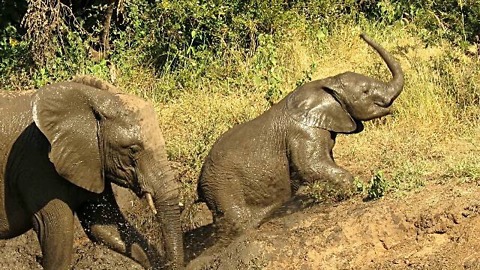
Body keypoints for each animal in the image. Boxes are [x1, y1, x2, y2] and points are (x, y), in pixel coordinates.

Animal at [197, 33, 404, 238]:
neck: (327, 83)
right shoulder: (304, 133)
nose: (361, 34)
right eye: (365, 92)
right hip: (222, 186)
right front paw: (354, 189)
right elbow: (311, 166)